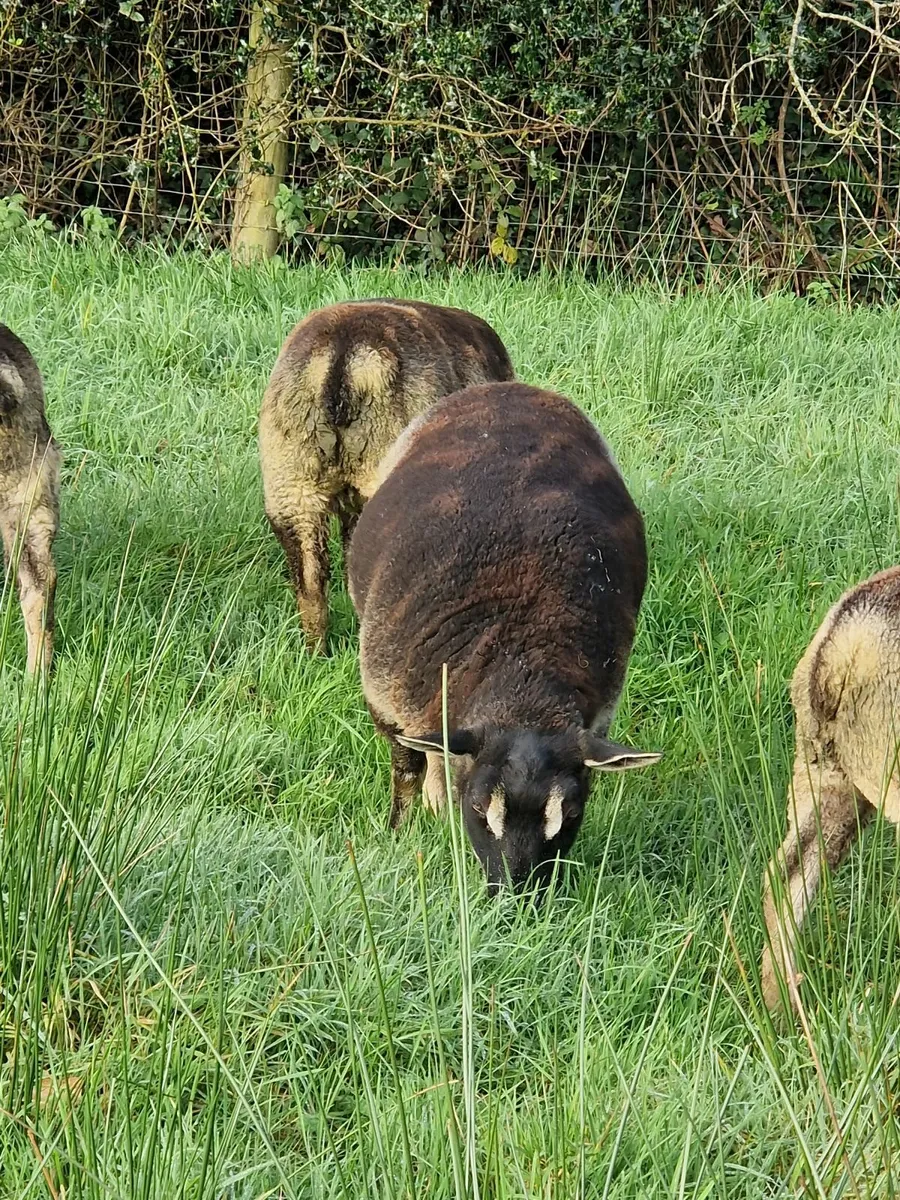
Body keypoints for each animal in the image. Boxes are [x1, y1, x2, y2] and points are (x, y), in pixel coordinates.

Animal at [347, 381, 661, 892]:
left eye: (571, 814)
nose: (515, 898)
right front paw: (401, 830)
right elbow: (407, 770)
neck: (520, 662)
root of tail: (511, 389)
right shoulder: (388, 699)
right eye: (479, 808)